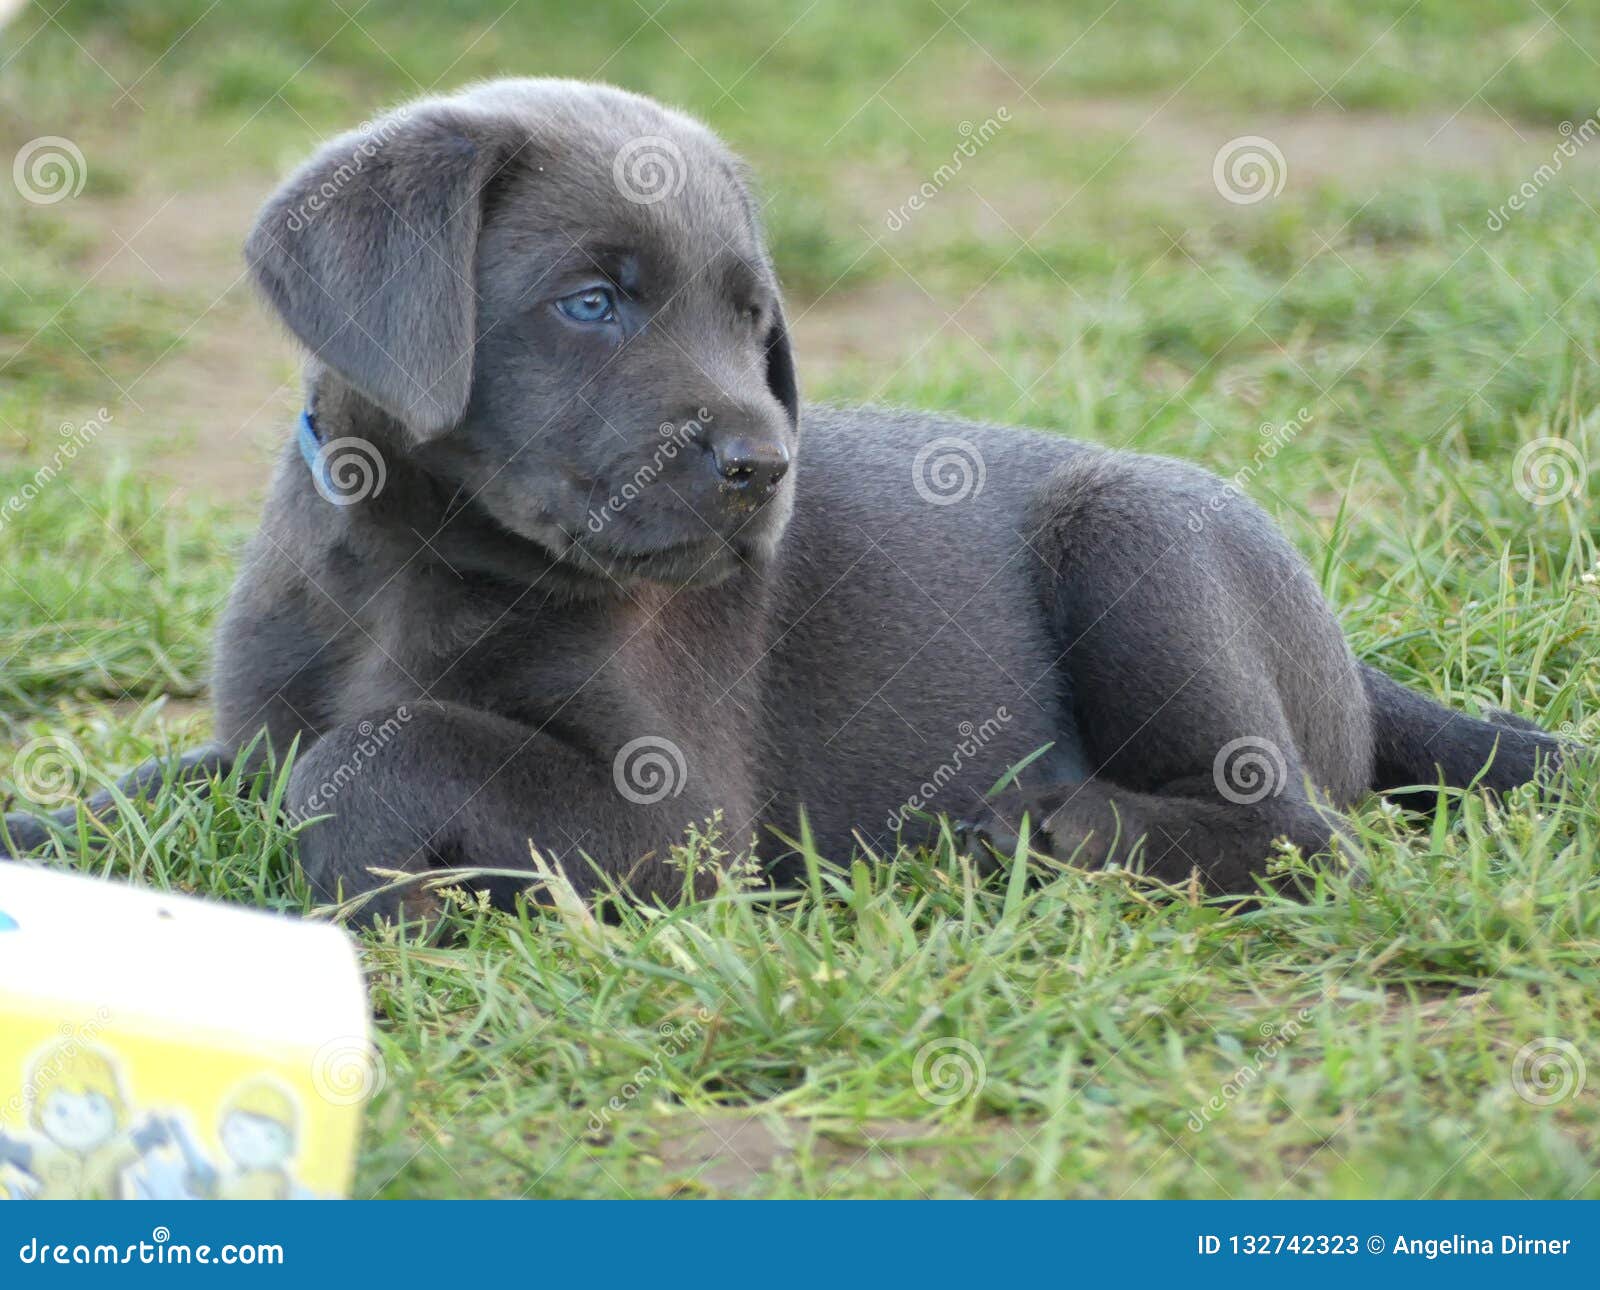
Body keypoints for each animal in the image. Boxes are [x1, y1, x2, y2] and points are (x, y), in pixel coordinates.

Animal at [0, 78, 1568, 921]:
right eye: (592, 302)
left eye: (754, 322)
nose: (766, 468)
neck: (418, 557)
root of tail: (1356, 671)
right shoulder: (251, 732)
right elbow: (171, 779)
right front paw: (49, 835)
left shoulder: (678, 816)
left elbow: (383, 743)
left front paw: (367, 879)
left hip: (1144, 537)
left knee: (1304, 829)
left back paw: (1044, 829)